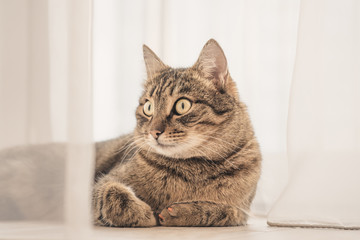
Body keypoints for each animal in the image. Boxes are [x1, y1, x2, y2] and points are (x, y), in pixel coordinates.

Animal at [93, 39, 262, 227]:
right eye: (148, 107)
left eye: (182, 105)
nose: (153, 131)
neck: (192, 168)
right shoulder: (98, 184)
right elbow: (110, 192)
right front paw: (143, 213)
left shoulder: (241, 212)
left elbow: (223, 211)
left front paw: (181, 212)